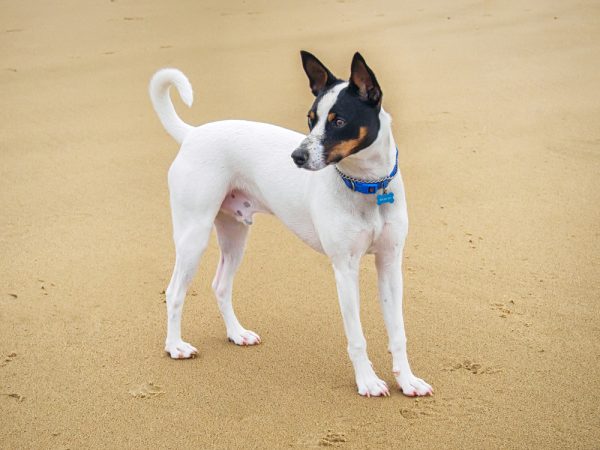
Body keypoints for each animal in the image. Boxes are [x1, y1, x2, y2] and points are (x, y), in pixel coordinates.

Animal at [149, 51, 432, 398]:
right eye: (310, 119)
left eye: (339, 121)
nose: (297, 156)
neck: (367, 186)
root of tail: (192, 134)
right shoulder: (345, 270)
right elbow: (357, 338)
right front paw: (366, 381)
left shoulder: (390, 265)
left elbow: (398, 333)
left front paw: (407, 380)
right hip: (194, 235)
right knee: (175, 290)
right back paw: (175, 346)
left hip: (235, 236)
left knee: (221, 285)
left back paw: (237, 333)